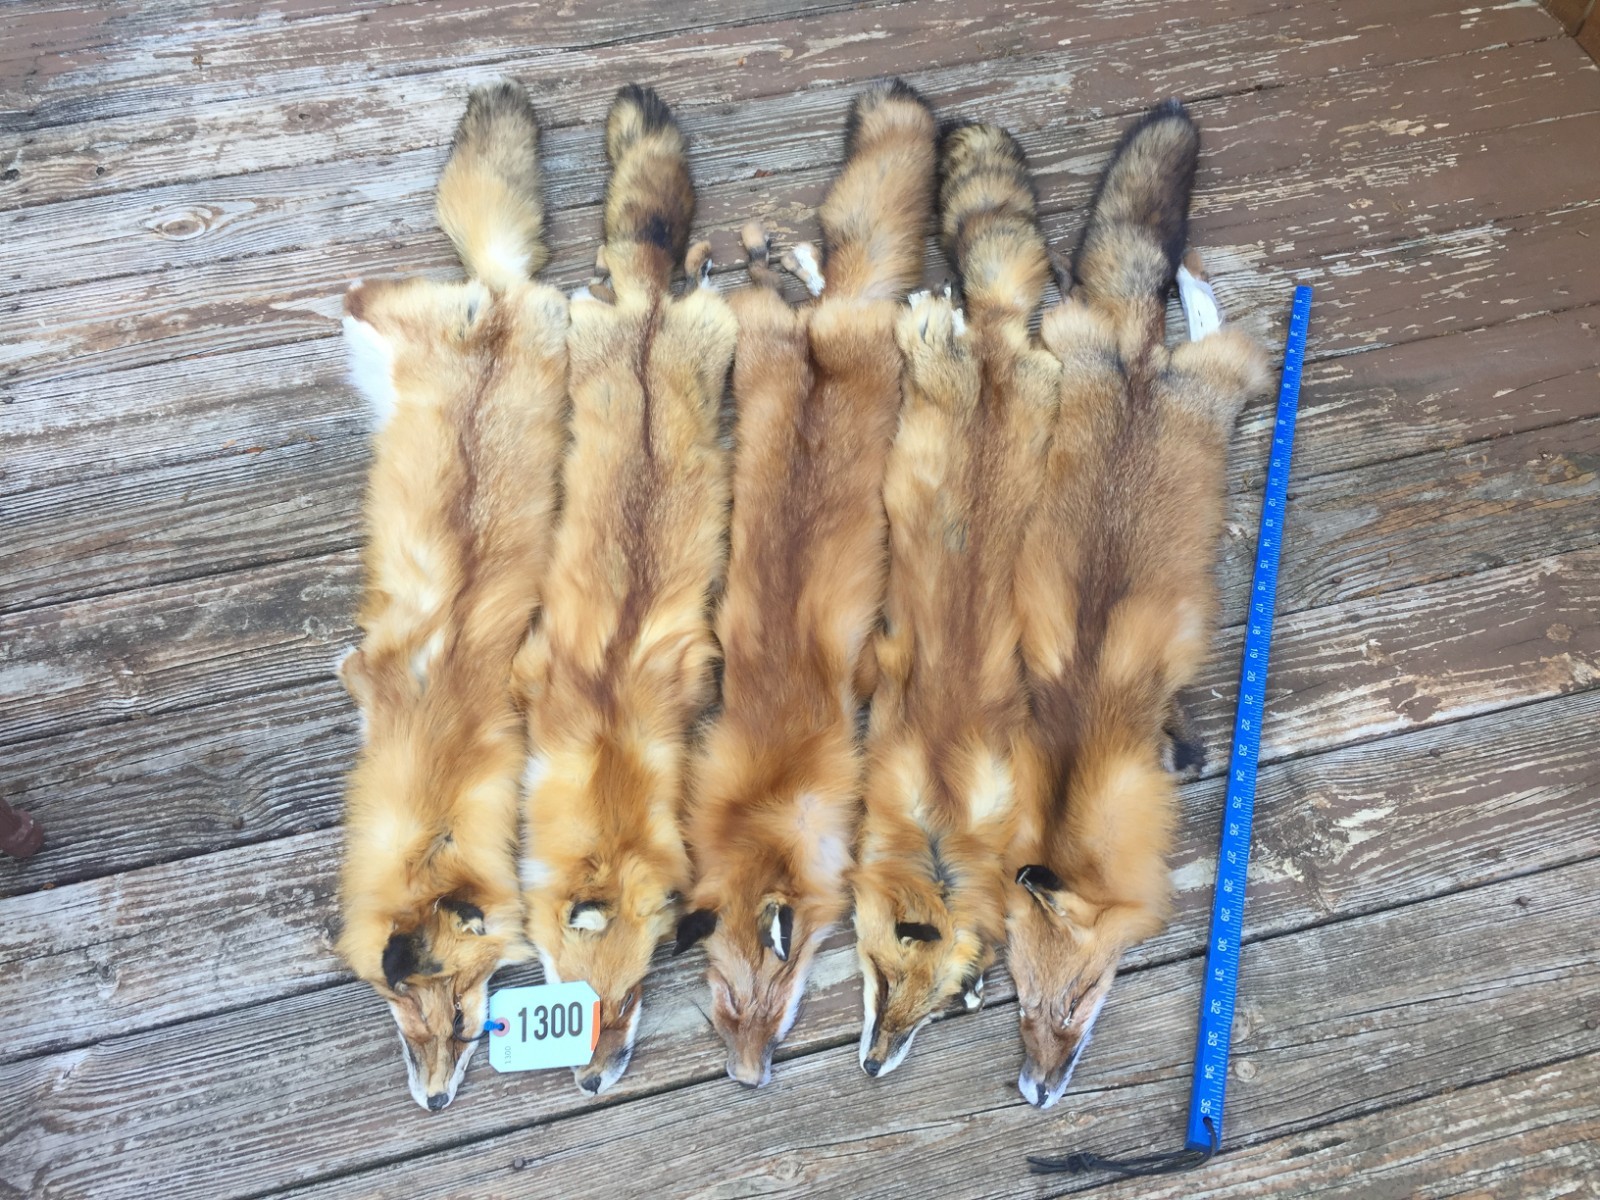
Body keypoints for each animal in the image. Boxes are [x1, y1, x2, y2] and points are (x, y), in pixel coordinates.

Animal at [673, 80, 938, 1089]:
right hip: (762, 348)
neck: (767, 805)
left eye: (774, 1010)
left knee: (788, 287)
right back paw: (776, 255)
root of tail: (827, 344)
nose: (748, 1081)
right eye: (722, 1014)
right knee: (777, 289)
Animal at [1007, 99, 1269, 1111]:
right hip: (1063, 339)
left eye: (1078, 999)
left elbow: (1176, 717)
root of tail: (1140, 363)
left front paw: (1189, 748)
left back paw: (1194, 292)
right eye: (1020, 1005)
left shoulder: (1159, 682)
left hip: (1233, 383)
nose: (1032, 1092)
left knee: (1229, 333)